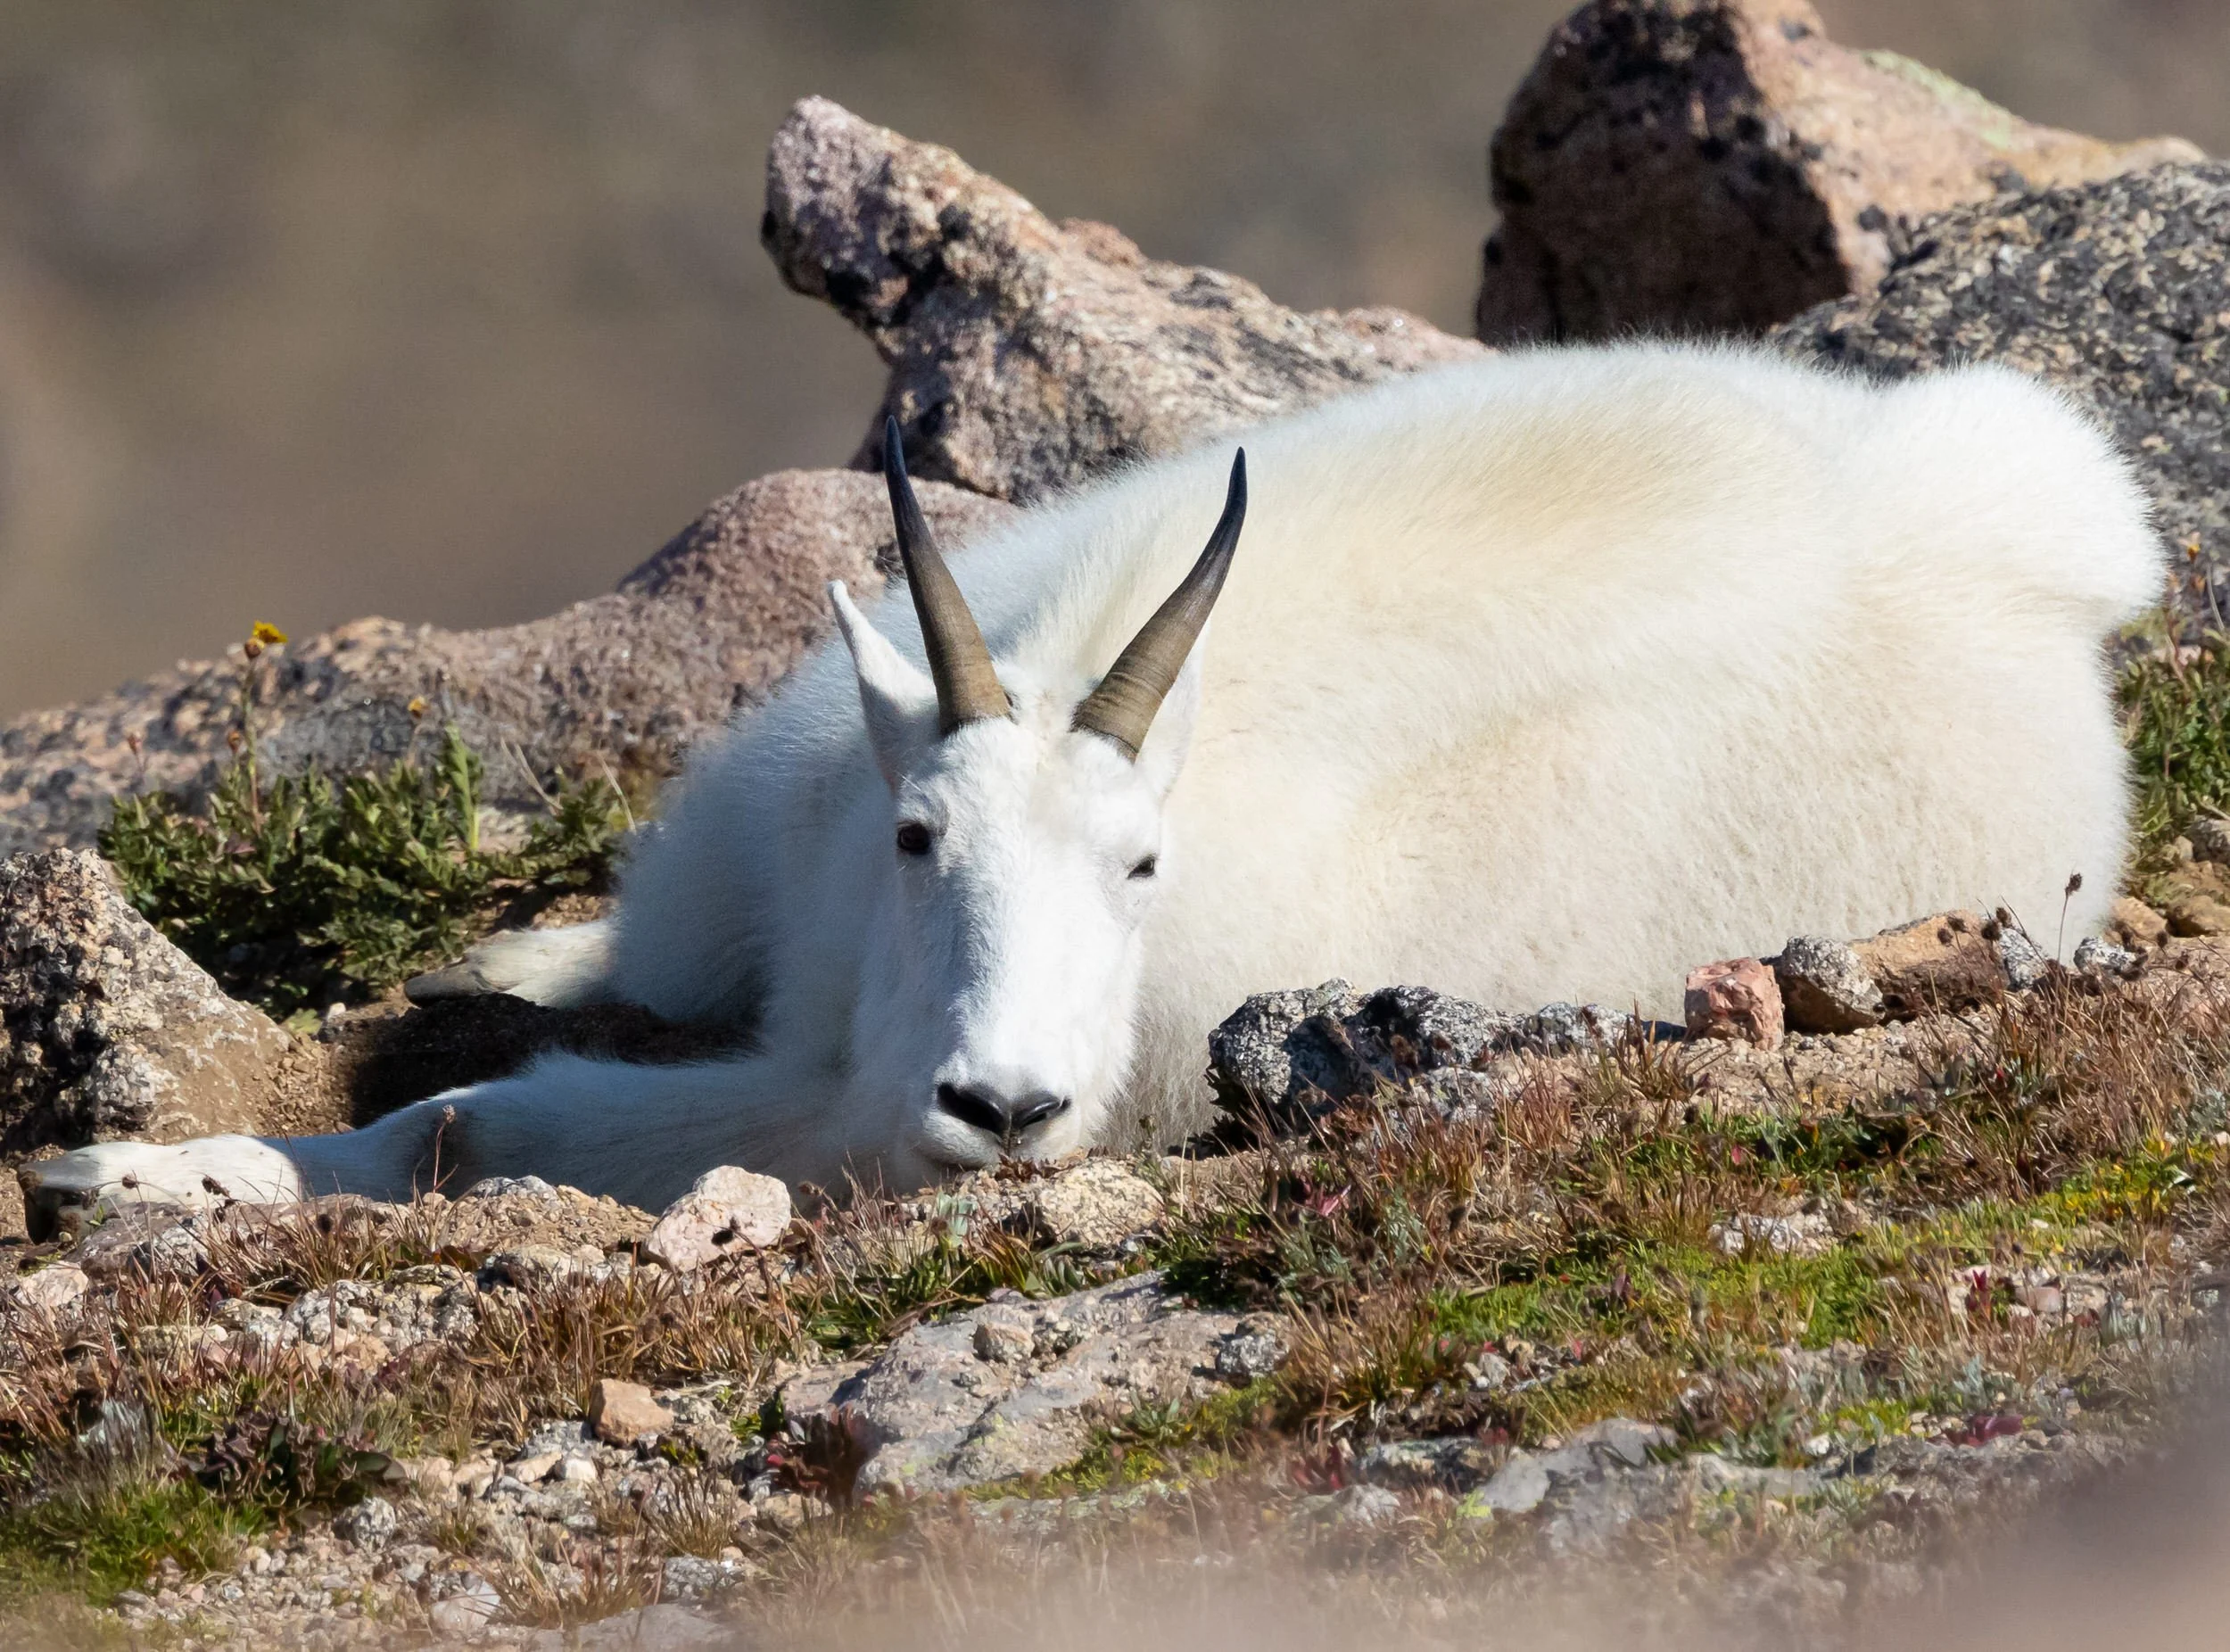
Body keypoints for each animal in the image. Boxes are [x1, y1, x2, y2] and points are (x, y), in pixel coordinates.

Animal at [22, 342, 2161, 1228]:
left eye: (1144, 863)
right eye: (923, 836)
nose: (1005, 1104)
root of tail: (2037, 535)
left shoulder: (839, 1124)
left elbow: (481, 1123)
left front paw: (125, 1175)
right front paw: (131, 1165)